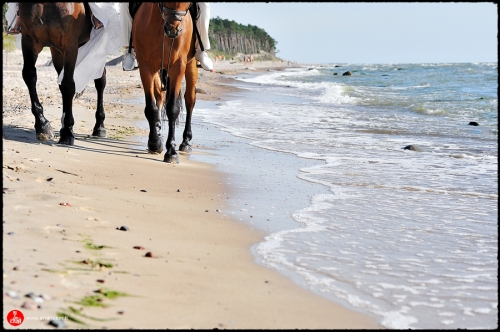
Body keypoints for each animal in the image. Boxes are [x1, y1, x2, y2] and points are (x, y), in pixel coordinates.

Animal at [18, 2, 107, 145]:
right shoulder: (29, 40)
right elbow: (29, 75)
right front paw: (42, 125)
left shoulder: (69, 44)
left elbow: (68, 85)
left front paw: (67, 132)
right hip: (57, 52)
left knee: (100, 81)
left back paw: (99, 126)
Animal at [132, 1, 198, 163]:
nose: (173, 29)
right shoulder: (146, 67)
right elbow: (151, 108)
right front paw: (155, 143)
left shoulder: (178, 66)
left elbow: (173, 108)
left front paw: (171, 151)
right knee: (160, 96)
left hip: (191, 65)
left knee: (190, 99)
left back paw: (186, 142)